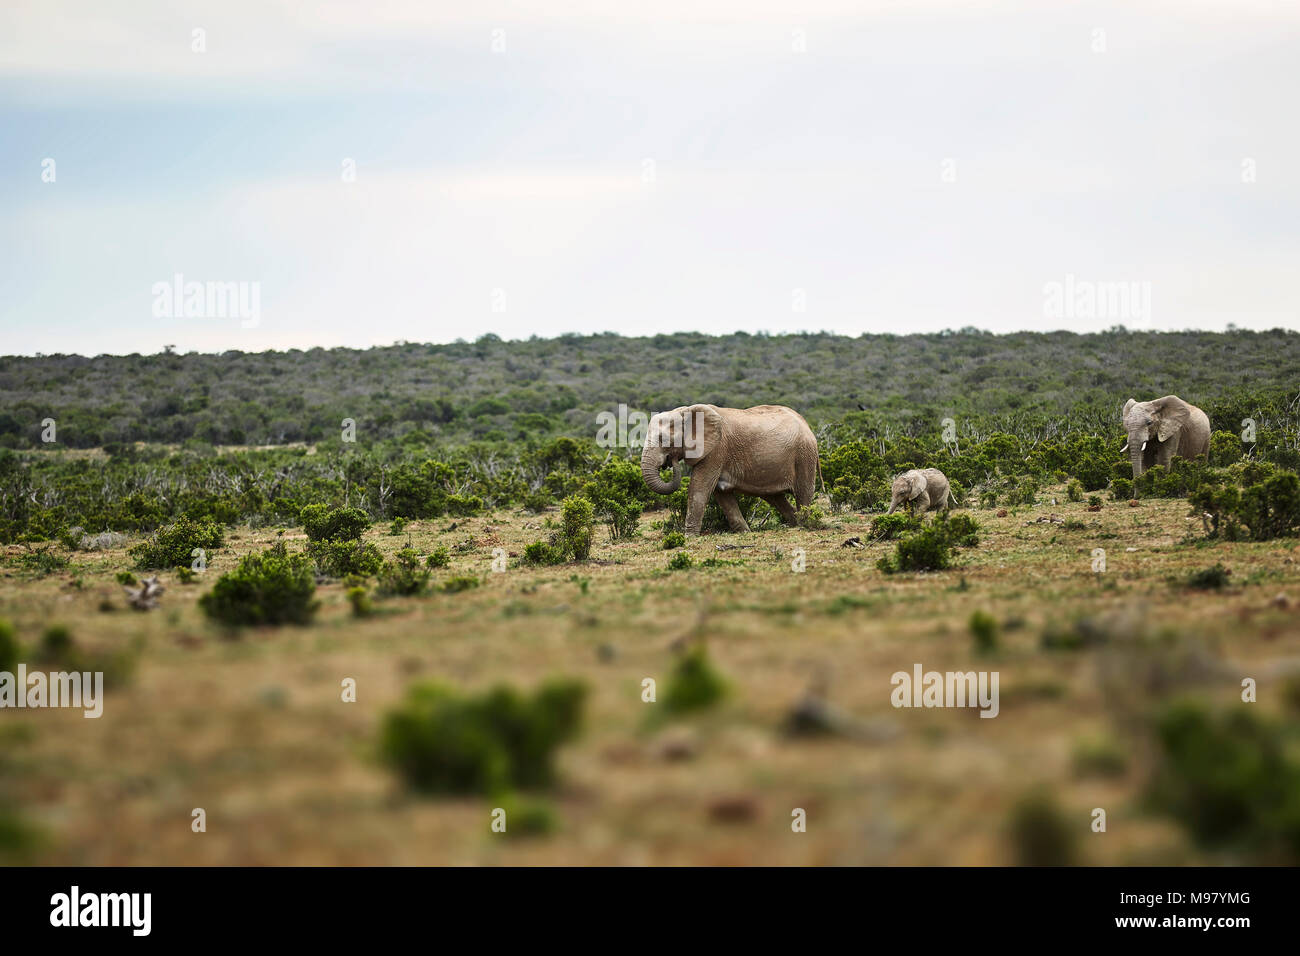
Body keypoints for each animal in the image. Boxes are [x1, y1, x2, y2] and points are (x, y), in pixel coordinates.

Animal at [640, 404, 820, 535]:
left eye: (664, 439)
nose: (671, 460)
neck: (688, 411)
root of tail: (806, 423)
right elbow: (721, 493)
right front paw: (745, 533)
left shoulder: (716, 449)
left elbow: (700, 487)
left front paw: (689, 537)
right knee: (775, 497)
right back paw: (794, 524)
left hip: (804, 454)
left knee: (803, 492)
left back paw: (804, 525)